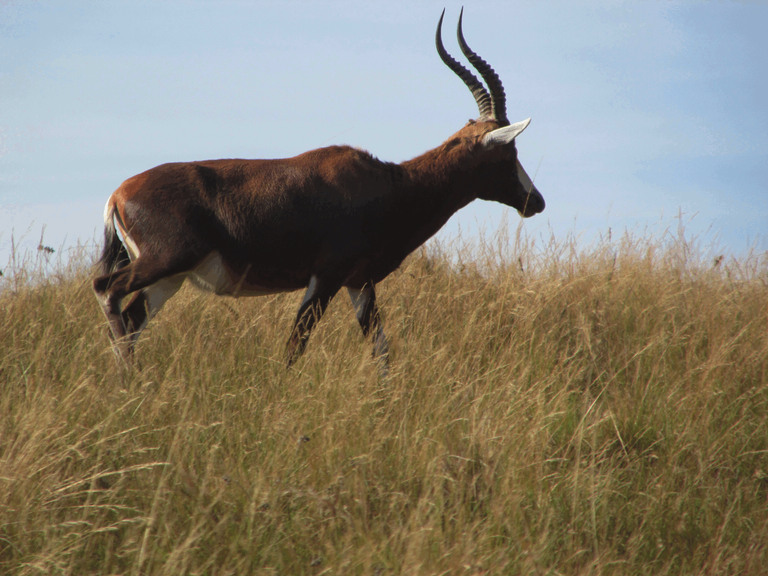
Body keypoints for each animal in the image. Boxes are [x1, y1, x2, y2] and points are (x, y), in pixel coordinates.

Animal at [91, 9, 544, 366]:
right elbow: (295, 346)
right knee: (107, 292)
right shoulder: (326, 277)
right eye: (509, 151)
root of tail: (119, 194)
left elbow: (381, 351)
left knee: (131, 320)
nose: (534, 201)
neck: (390, 183)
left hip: (169, 279)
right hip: (164, 262)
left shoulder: (359, 282)